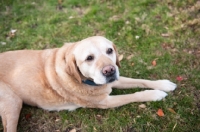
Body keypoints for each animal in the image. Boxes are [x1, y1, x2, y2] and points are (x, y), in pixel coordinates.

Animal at [0, 35, 176, 131]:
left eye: (109, 51)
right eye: (89, 58)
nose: (110, 70)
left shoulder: (113, 82)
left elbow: (140, 82)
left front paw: (163, 84)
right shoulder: (105, 102)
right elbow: (134, 95)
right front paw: (155, 94)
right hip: (13, 103)